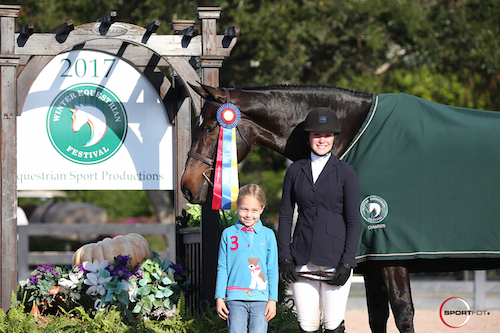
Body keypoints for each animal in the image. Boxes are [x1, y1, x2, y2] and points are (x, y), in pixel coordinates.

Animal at [182, 82, 416, 330]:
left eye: (209, 128)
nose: (186, 186)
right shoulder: (372, 257)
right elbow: (378, 316)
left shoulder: (390, 256)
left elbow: (403, 313)